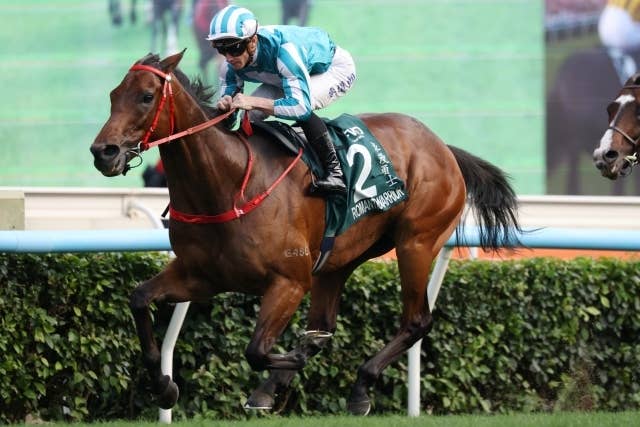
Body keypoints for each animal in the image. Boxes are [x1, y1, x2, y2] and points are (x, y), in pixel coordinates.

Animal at [90, 51, 521, 415]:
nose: (103, 152)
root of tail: (443, 147)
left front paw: (290, 361)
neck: (227, 185)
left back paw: (358, 388)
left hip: (416, 242)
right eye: (112, 95)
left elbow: (256, 349)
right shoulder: (201, 277)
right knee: (325, 326)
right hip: (339, 258)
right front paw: (164, 388)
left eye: (146, 97)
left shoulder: (289, 281)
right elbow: (139, 299)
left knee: (416, 321)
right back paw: (280, 382)